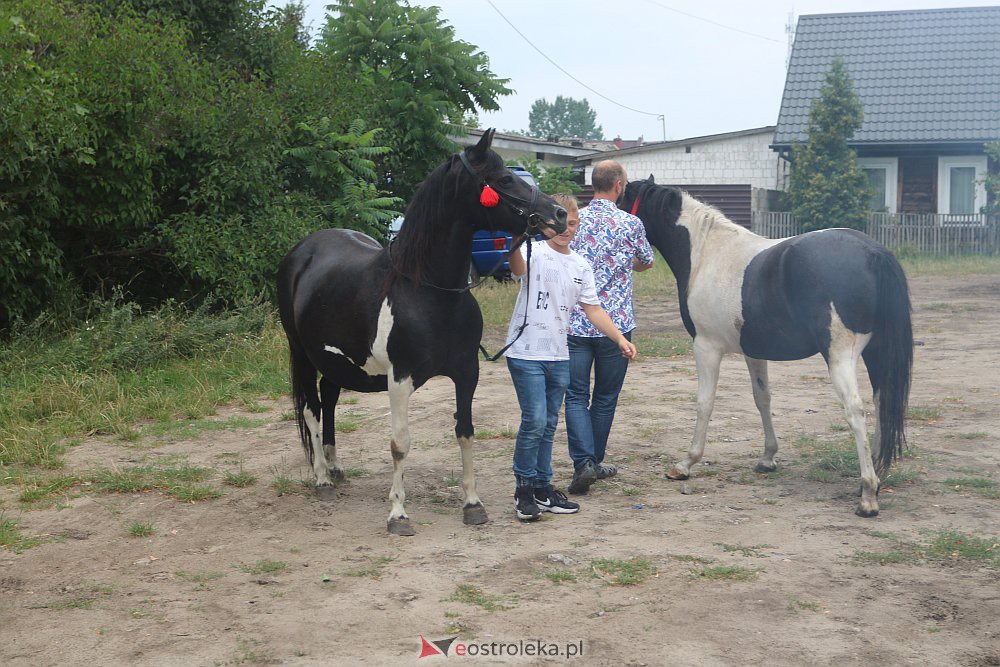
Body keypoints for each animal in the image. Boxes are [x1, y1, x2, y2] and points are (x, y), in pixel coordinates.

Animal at [278, 132, 568, 536]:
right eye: (504, 179)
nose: (559, 214)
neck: (428, 290)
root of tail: (301, 252)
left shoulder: (467, 372)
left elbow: (465, 432)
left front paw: (473, 504)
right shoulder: (400, 379)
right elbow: (400, 444)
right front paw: (398, 514)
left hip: (336, 360)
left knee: (329, 398)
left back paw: (335, 469)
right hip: (302, 354)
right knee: (311, 409)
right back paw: (322, 479)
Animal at [620, 177, 912, 516]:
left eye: (622, 201)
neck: (706, 253)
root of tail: (873, 252)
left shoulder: (706, 348)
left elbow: (705, 403)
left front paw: (686, 463)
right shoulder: (754, 352)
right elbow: (763, 399)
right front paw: (768, 458)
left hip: (841, 354)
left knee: (855, 410)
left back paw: (867, 494)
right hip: (877, 352)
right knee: (881, 402)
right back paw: (875, 475)